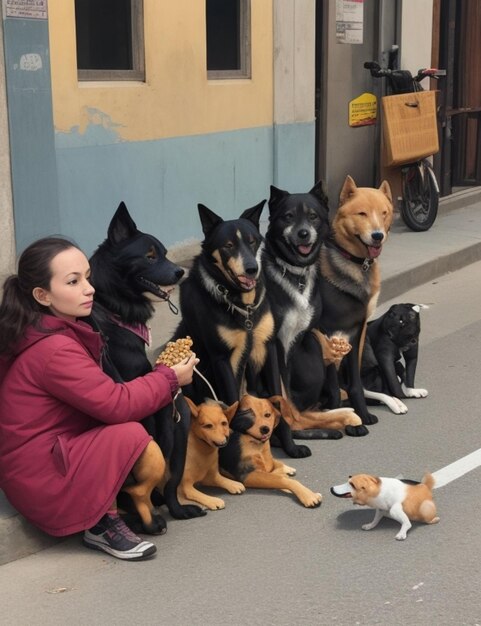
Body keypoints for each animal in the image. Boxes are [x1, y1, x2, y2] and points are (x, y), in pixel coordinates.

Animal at [172, 201, 312, 458]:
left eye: (253, 242)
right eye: (228, 245)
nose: (251, 269)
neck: (243, 307)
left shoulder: (269, 349)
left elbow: (278, 401)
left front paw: (290, 446)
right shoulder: (222, 359)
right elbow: (231, 404)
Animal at [262, 183, 364, 436]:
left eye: (313, 216)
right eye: (288, 216)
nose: (303, 233)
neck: (293, 272)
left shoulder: (296, 340)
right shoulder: (275, 343)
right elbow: (284, 400)